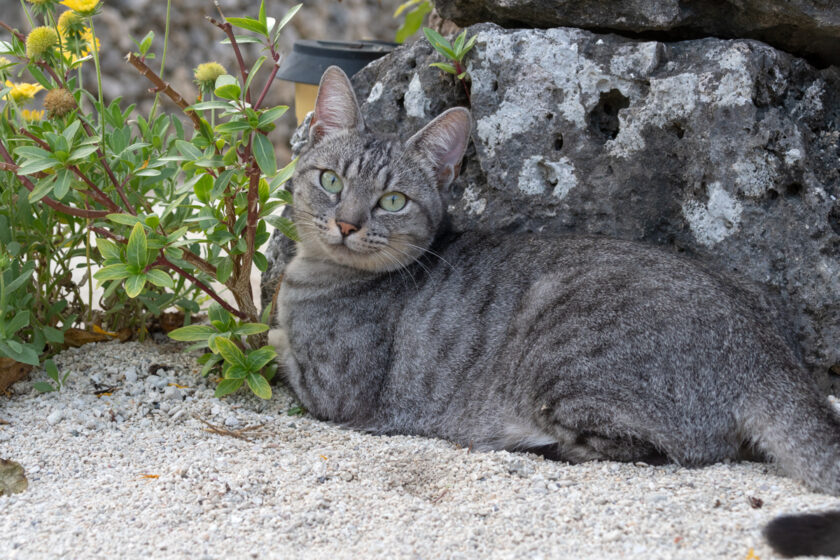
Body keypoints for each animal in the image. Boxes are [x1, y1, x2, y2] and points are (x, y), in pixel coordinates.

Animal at [274, 65, 840, 556]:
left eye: (392, 201)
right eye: (330, 181)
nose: (347, 223)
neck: (317, 274)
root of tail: (765, 352)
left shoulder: (332, 391)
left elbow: (278, 348)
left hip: (563, 363)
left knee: (660, 450)